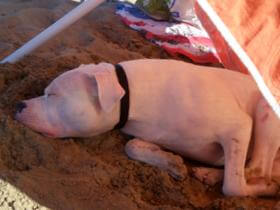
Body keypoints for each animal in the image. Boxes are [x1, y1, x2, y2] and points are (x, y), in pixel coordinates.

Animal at [14, 58, 280, 197]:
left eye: (53, 94)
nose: (18, 104)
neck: (132, 94)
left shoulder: (239, 127)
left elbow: (234, 185)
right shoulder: (153, 132)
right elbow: (132, 146)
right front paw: (171, 162)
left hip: (266, 112)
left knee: (255, 170)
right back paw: (208, 173)